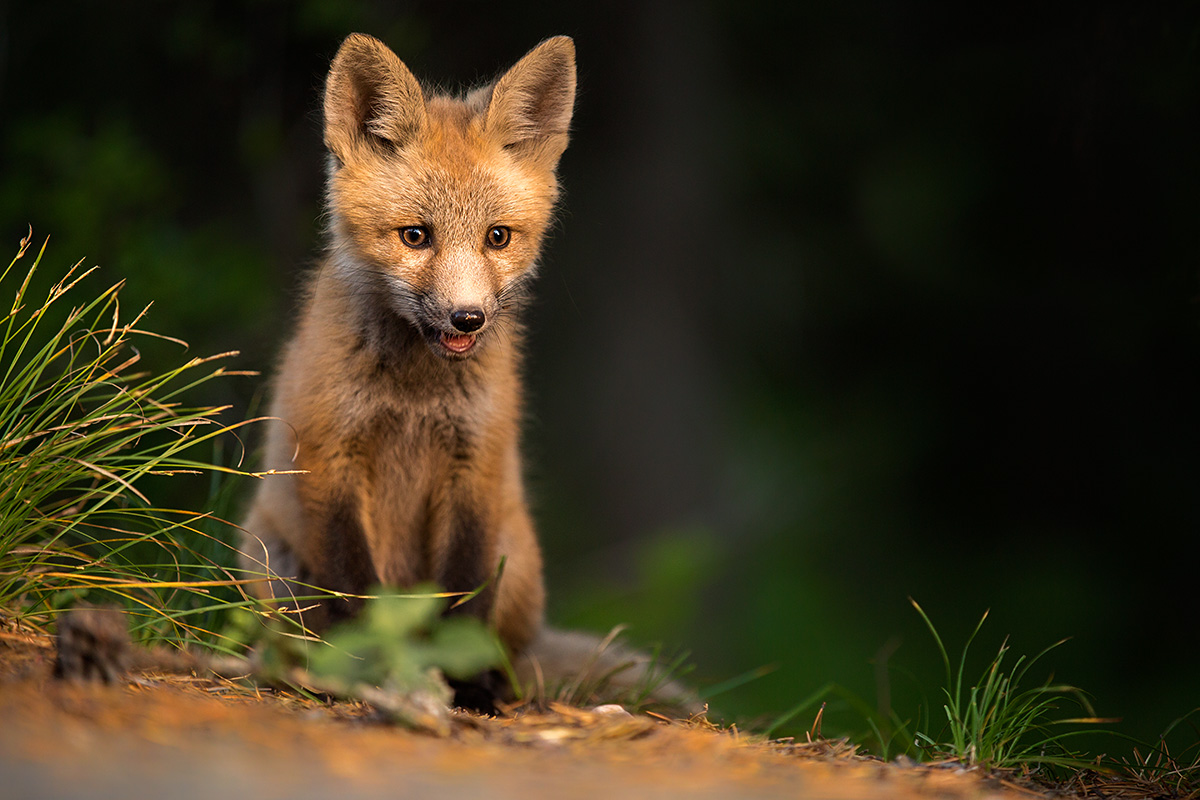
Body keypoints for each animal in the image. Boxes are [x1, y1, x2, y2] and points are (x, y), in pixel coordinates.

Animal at [238, 34, 691, 713]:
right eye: (414, 236)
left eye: (497, 237)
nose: (467, 317)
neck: (414, 398)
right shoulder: (330, 457)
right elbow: (354, 589)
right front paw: (367, 673)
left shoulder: (476, 462)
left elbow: (464, 601)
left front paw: (465, 688)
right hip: (271, 559)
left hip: (515, 551)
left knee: (508, 650)